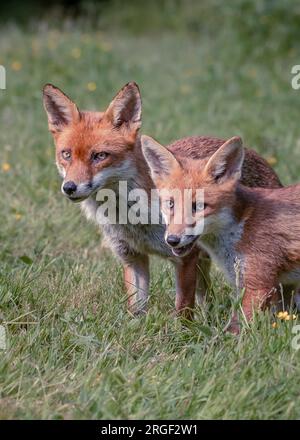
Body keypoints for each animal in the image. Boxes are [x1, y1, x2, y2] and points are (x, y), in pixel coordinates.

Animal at [43, 81, 282, 318]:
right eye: (66, 155)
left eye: (100, 156)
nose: (69, 187)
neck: (133, 219)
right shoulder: (132, 257)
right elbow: (136, 309)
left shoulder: (185, 257)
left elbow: (183, 309)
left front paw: (183, 329)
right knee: (207, 295)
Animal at [141, 136, 300, 332]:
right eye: (170, 204)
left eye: (199, 206)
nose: (172, 240)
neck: (241, 226)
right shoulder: (269, 285)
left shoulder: (258, 285)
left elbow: (235, 330)